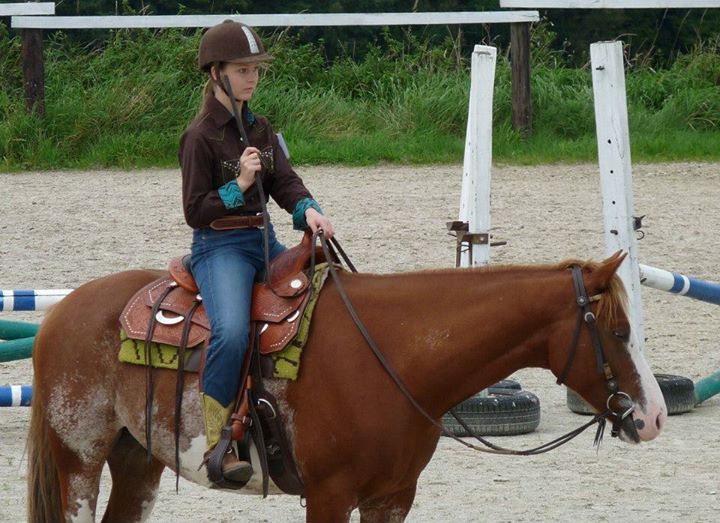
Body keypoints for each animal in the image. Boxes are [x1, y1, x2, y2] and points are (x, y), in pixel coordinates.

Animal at [28, 252, 668, 520]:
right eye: (617, 330)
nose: (654, 416)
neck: (394, 357)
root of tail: (63, 313)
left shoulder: (391, 499)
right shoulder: (330, 497)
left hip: (137, 461)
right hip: (79, 459)